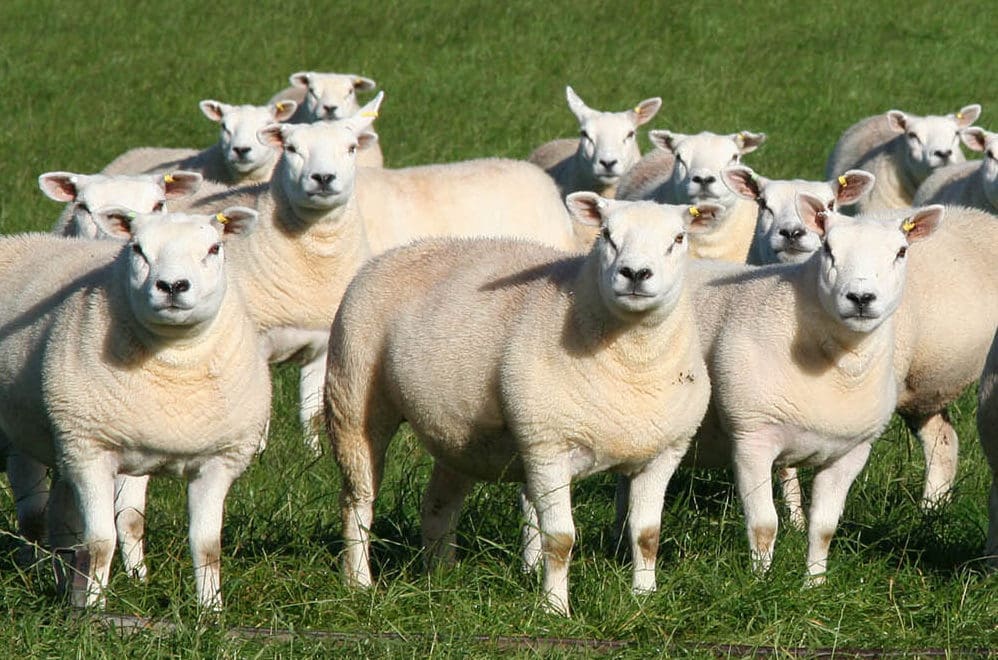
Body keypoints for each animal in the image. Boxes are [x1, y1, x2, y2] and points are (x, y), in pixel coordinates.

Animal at [0, 206, 271, 610]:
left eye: (214, 248)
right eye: (138, 249)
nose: (172, 286)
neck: (174, 359)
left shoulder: (218, 461)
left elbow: (207, 546)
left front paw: (211, 612)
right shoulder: (90, 450)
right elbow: (100, 542)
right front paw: (94, 612)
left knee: (61, 520)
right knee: (36, 515)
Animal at [325, 192, 721, 616]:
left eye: (678, 238)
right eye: (606, 235)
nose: (635, 273)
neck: (633, 364)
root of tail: (403, 249)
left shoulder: (663, 453)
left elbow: (647, 534)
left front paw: (644, 599)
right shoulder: (547, 445)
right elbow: (560, 539)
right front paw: (554, 610)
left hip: (461, 436)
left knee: (436, 505)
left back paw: (441, 577)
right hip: (352, 393)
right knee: (357, 499)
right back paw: (359, 584)